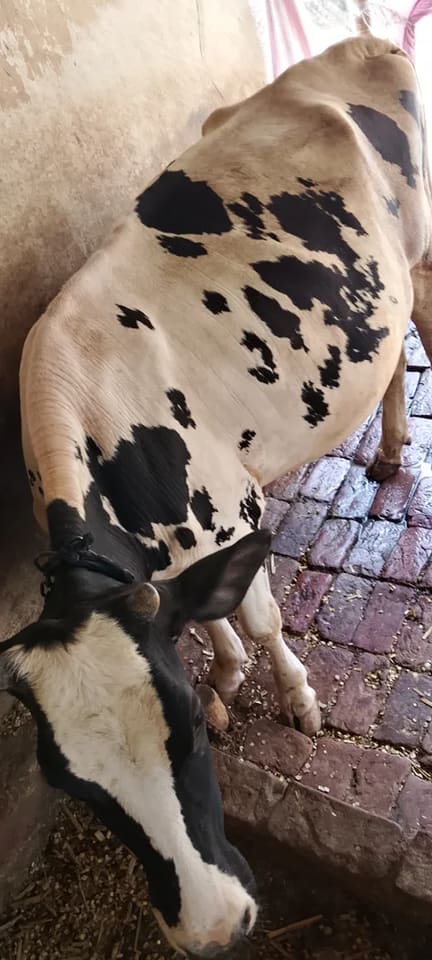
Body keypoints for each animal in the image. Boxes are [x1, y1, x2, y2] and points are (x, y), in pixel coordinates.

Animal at [1, 34, 431, 957]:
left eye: (186, 732)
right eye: (76, 787)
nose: (212, 927)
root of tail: (359, 40)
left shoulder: (233, 512)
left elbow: (262, 619)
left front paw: (296, 698)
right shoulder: (177, 549)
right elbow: (205, 616)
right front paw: (229, 676)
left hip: (419, 251)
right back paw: (384, 451)